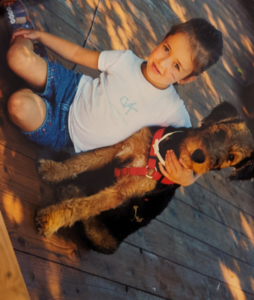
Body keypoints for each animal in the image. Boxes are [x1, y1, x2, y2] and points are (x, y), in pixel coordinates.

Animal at [34, 101, 254, 253]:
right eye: (221, 132)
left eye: (231, 158)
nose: (198, 157)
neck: (167, 150)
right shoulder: (121, 148)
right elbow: (85, 160)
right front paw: (53, 170)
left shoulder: (122, 191)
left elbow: (84, 207)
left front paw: (50, 219)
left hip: (108, 239)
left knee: (90, 223)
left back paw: (70, 191)